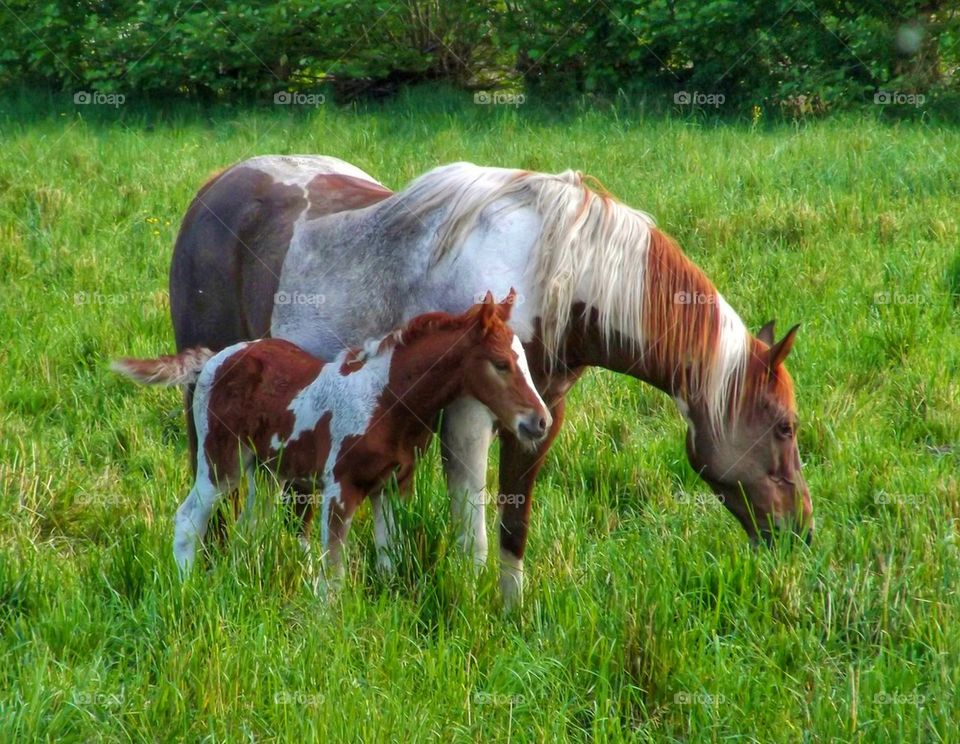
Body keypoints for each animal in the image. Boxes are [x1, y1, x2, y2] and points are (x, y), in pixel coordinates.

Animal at [111, 294, 548, 588]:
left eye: (525, 362)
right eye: (501, 364)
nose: (539, 422)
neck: (384, 398)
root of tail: (215, 359)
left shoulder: (392, 487)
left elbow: (388, 558)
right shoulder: (340, 488)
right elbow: (333, 573)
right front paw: (327, 630)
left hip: (266, 470)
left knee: (249, 528)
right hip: (221, 462)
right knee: (189, 519)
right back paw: (185, 588)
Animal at [169, 155, 812, 612]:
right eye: (785, 427)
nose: (800, 531)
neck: (556, 272)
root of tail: (217, 185)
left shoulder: (540, 415)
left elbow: (512, 525)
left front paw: (510, 613)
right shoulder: (470, 417)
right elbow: (472, 529)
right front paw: (469, 606)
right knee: (211, 503)